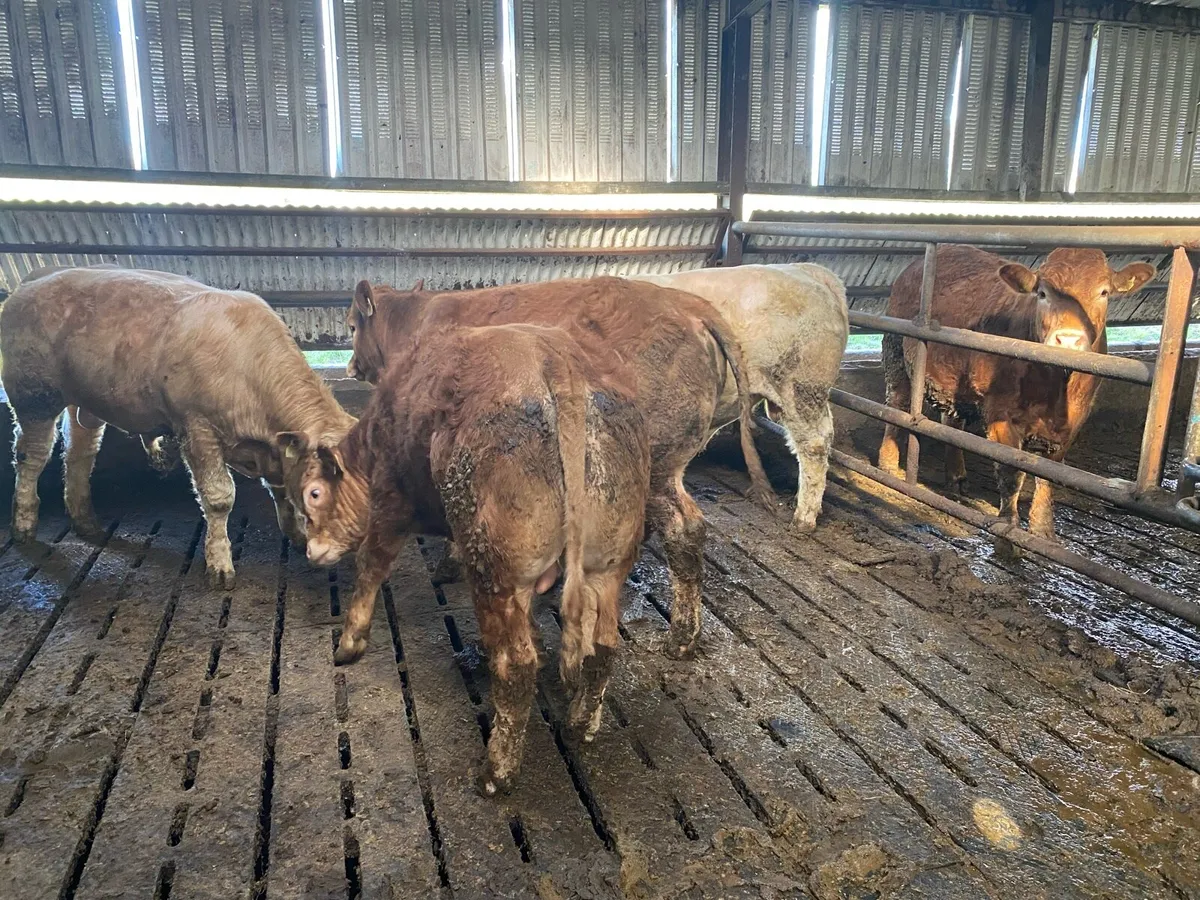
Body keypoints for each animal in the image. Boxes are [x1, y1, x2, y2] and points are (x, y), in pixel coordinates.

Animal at [0, 267, 355, 587]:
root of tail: (33, 281)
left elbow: (281, 490)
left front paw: (296, 535)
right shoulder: (197, 428)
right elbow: (219, 497)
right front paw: (220, 565)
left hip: (83, 402)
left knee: (78, 455)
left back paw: (85, 521)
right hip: (35, 396)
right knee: (32, 457)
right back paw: (24, 525)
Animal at [277, 322, 650, 794]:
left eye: (314, 493)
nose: (311, 549)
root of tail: (555, 359)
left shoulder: (391, 500)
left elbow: (371, 565)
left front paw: (349, 643)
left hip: (495, 570)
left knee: (515, 666)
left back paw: (496, 773)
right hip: (607, 565)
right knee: (601, 645)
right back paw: (582, 723)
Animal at [344, 275, 773, 660]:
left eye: (351, 325)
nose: (350, 366)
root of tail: (688, 304)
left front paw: (447, 564)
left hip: (656, 468)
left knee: (685, 530)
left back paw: (681, 639)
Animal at [879, 245, 1155, 539]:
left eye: (1103, 292)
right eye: (1042, 293)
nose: (1067, 339)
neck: (1056, 387)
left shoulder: (1075, 421)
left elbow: (1048, 474)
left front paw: (1043, 529)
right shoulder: (1000, 412)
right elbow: (1011, 471)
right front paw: (1008, 523)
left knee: (952, 422)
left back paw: (956, 478)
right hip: (896, 354)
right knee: (897, 403)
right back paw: (888, 464)